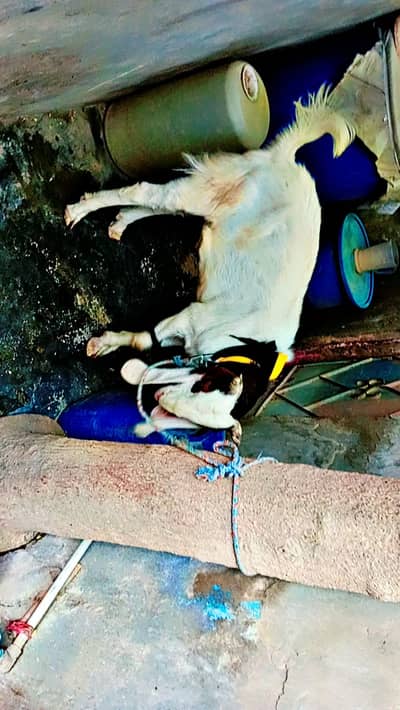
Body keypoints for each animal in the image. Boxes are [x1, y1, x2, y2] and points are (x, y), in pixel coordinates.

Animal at [65, 86, 354, 438]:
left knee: (164, 205)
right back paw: (80, 210)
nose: (158, 397)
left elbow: (146, 340)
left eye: (194, 420)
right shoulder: (192, 317)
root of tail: (285, 160)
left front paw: (108, 345)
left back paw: (120, 223)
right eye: (204, 386)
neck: (249, 345)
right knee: (151, 194)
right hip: (217, 187)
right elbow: (149, 336)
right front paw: (106, 343)